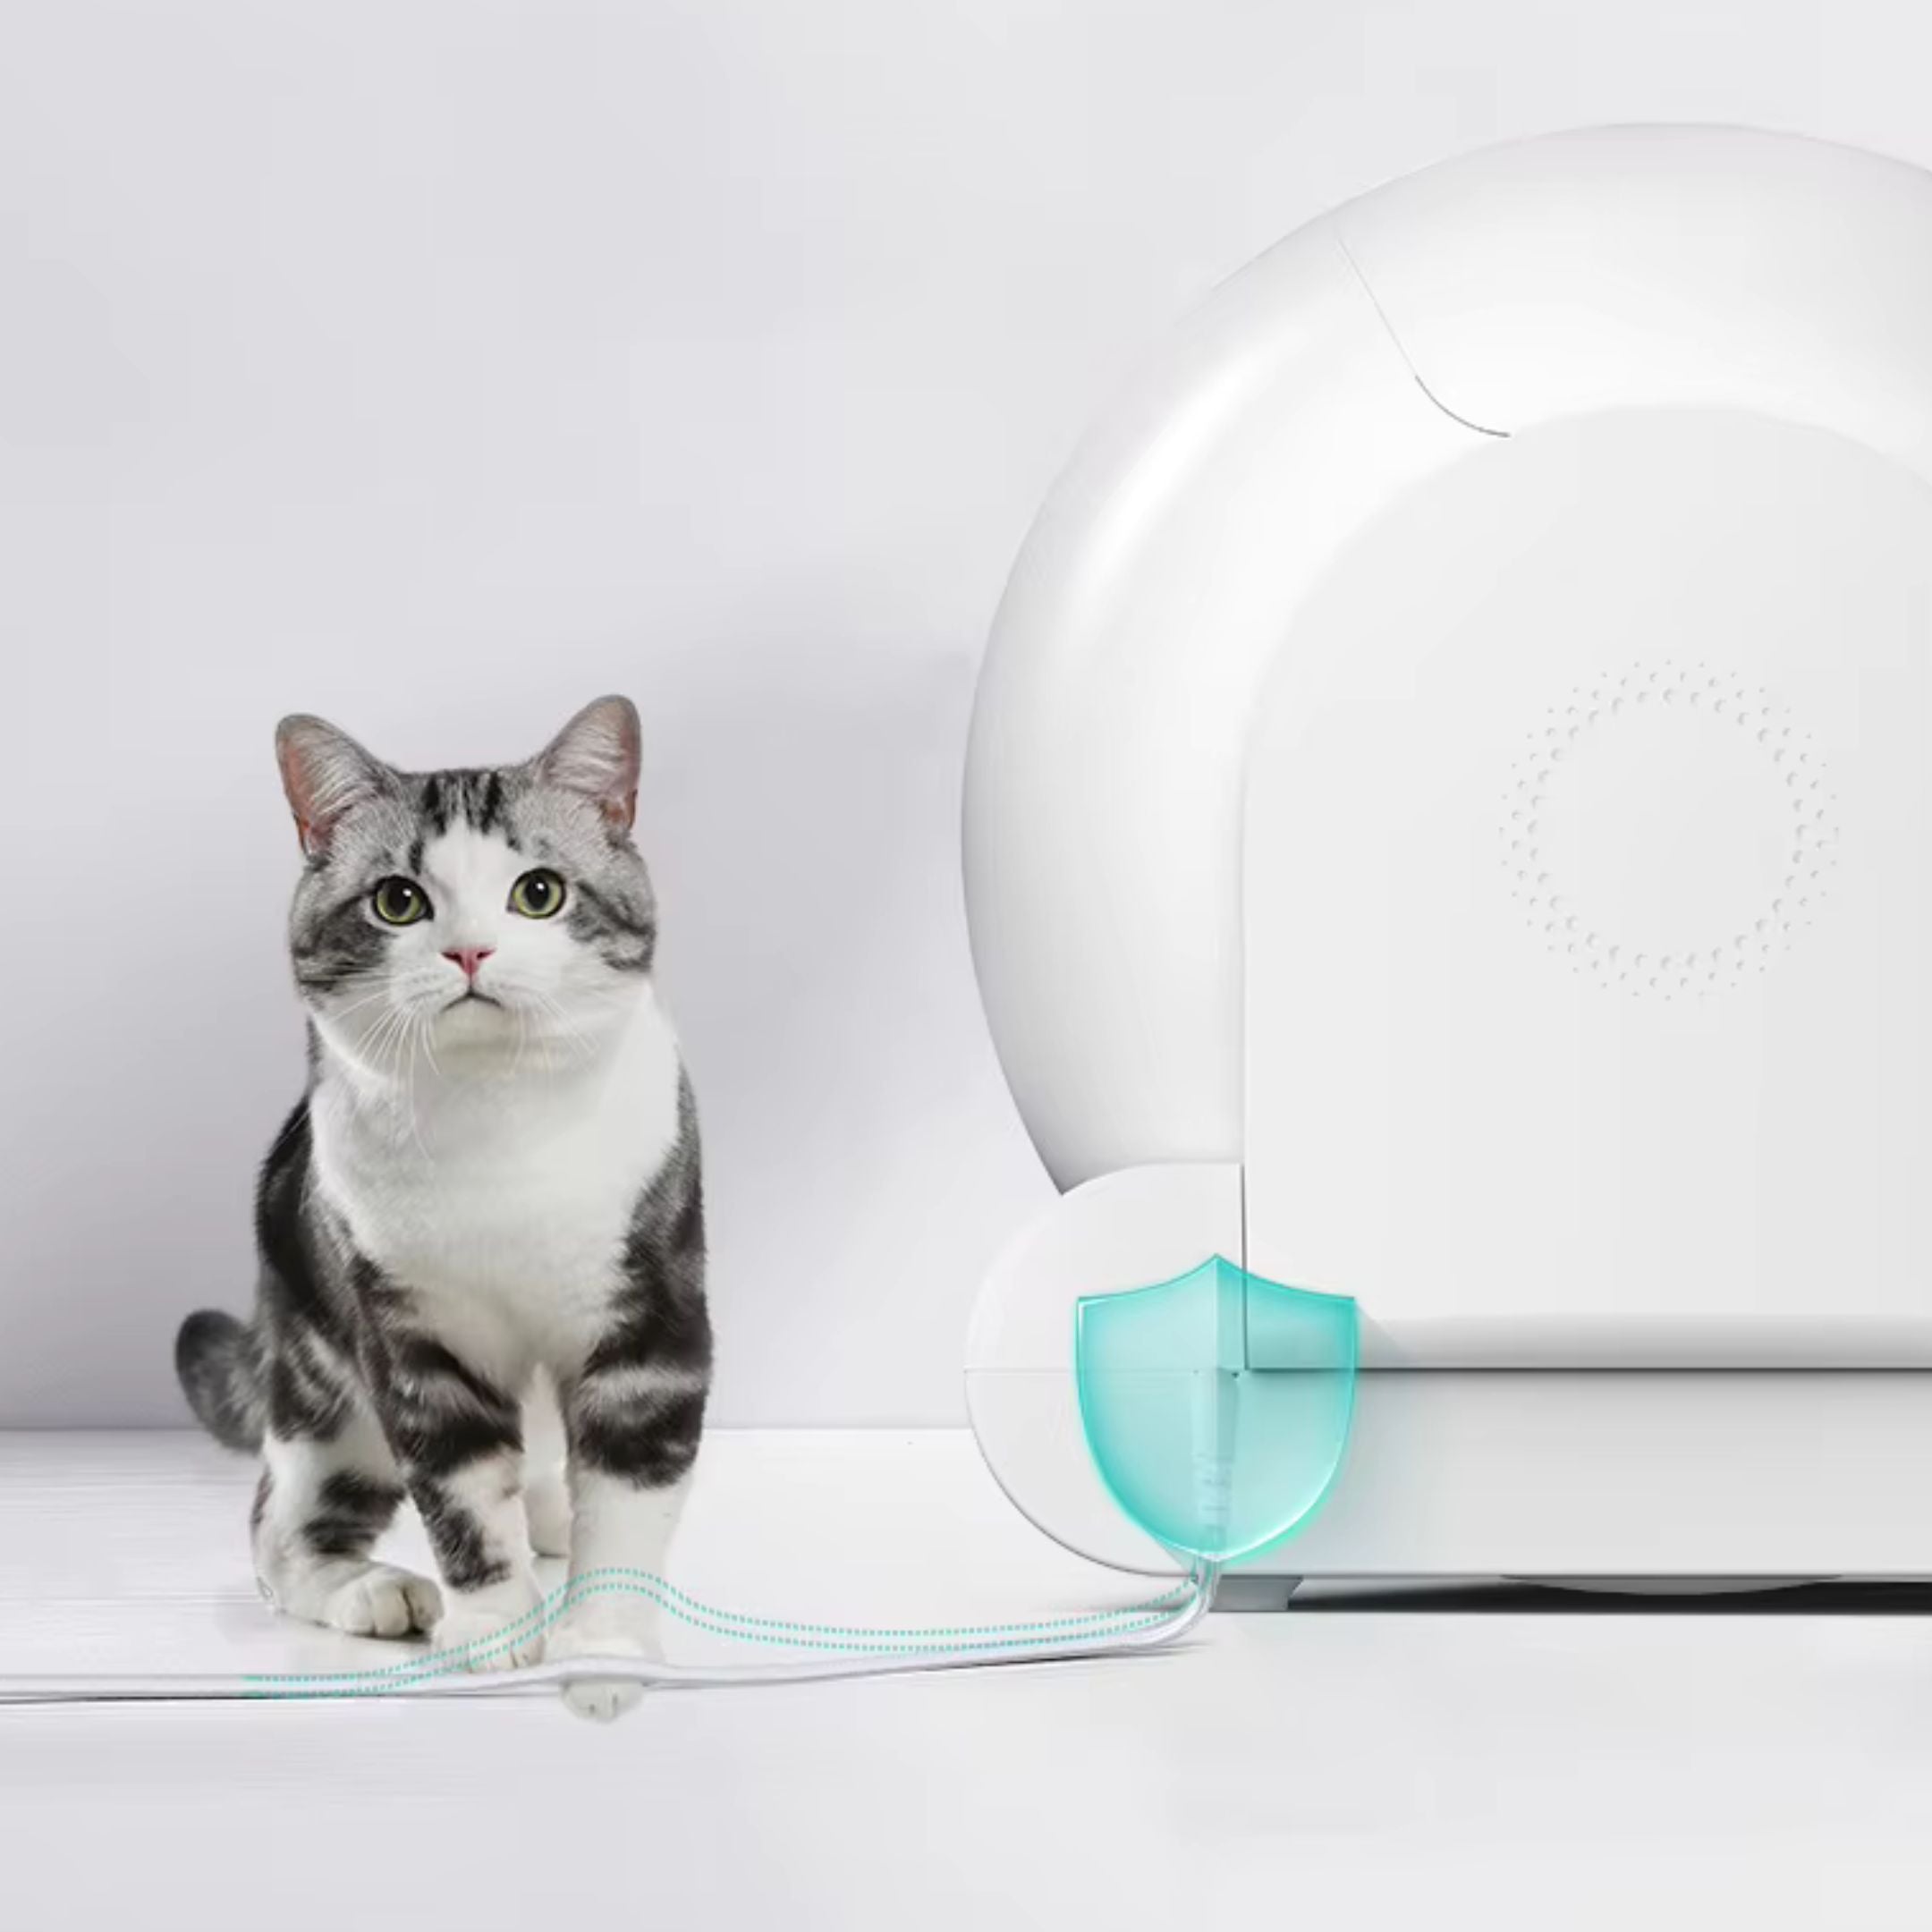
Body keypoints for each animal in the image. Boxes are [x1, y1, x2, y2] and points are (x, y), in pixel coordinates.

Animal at [175, 695, 710, 1723]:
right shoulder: (416, 1342)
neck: (500, 1120)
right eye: (398, 901)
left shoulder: (650, 1325)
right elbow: (460, 1493)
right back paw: (376, 1588)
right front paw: (498, 1630)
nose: (470, 951)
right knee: (276, 1527)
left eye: (539, 893)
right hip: (325, 1396)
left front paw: (605, 1650)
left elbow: (629, 1499)